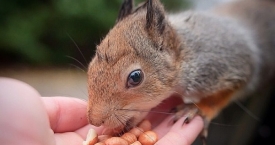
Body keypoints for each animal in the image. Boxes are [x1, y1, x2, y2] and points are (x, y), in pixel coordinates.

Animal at [86, 0, 275, 143]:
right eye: (91, 64)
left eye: (135, 77)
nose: (95, 120)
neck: (185, 54)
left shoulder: (230, 67)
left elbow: (223, 95)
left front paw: (197, 109)